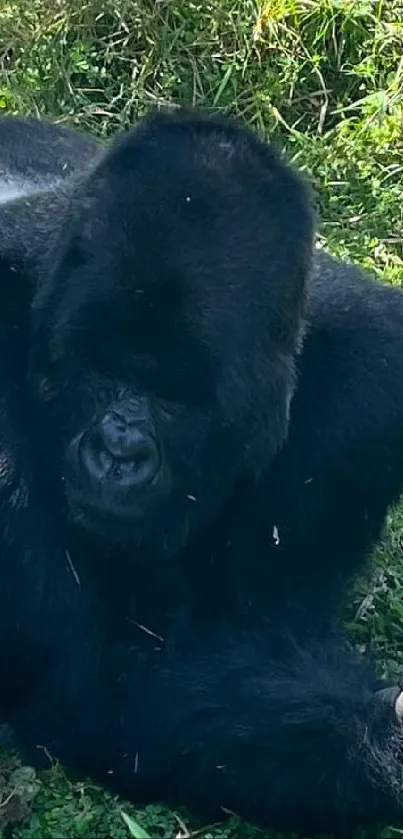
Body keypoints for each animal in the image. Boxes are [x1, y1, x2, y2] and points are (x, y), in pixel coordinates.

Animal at [1, 108, 403, 836]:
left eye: (175, 398)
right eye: (100, 370)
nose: (118, 451)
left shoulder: (369, 398)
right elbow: (87, 676)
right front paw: (386, 741)